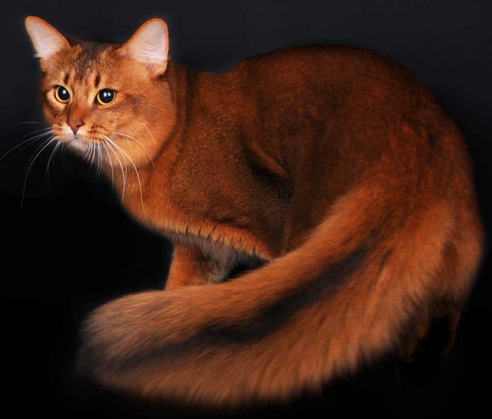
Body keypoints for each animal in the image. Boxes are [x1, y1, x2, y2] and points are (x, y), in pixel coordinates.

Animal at [25, 16, 484, 406]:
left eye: (106, 96)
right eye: (62, 93)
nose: (73, 125)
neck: (175, 135)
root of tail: (408, 150)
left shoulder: (265, 221)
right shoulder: (202, 248)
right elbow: (179, 294)